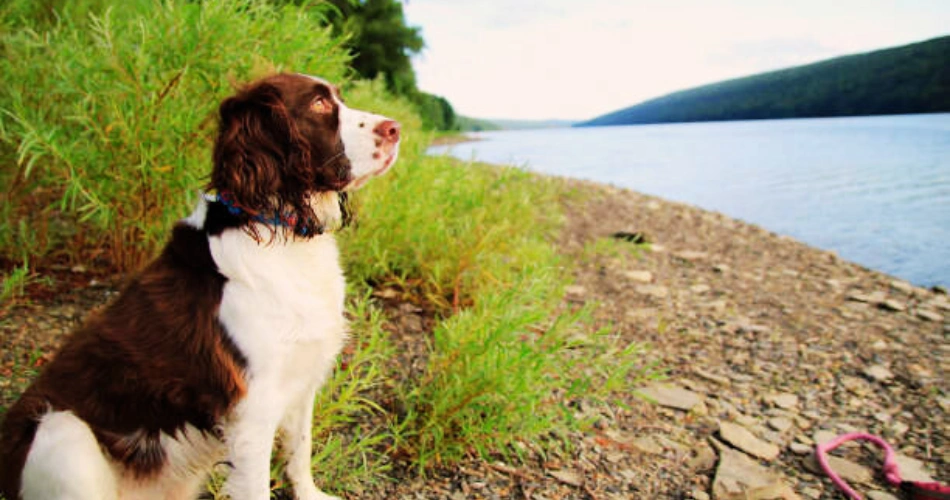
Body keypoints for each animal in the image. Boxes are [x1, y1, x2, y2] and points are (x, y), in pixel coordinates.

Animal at [0, 74, 400, 500]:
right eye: (319, 104)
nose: (396, 128)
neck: (278, 233)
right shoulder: (252, 409)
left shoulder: (301, 378)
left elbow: (299, 451)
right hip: (61, 432)